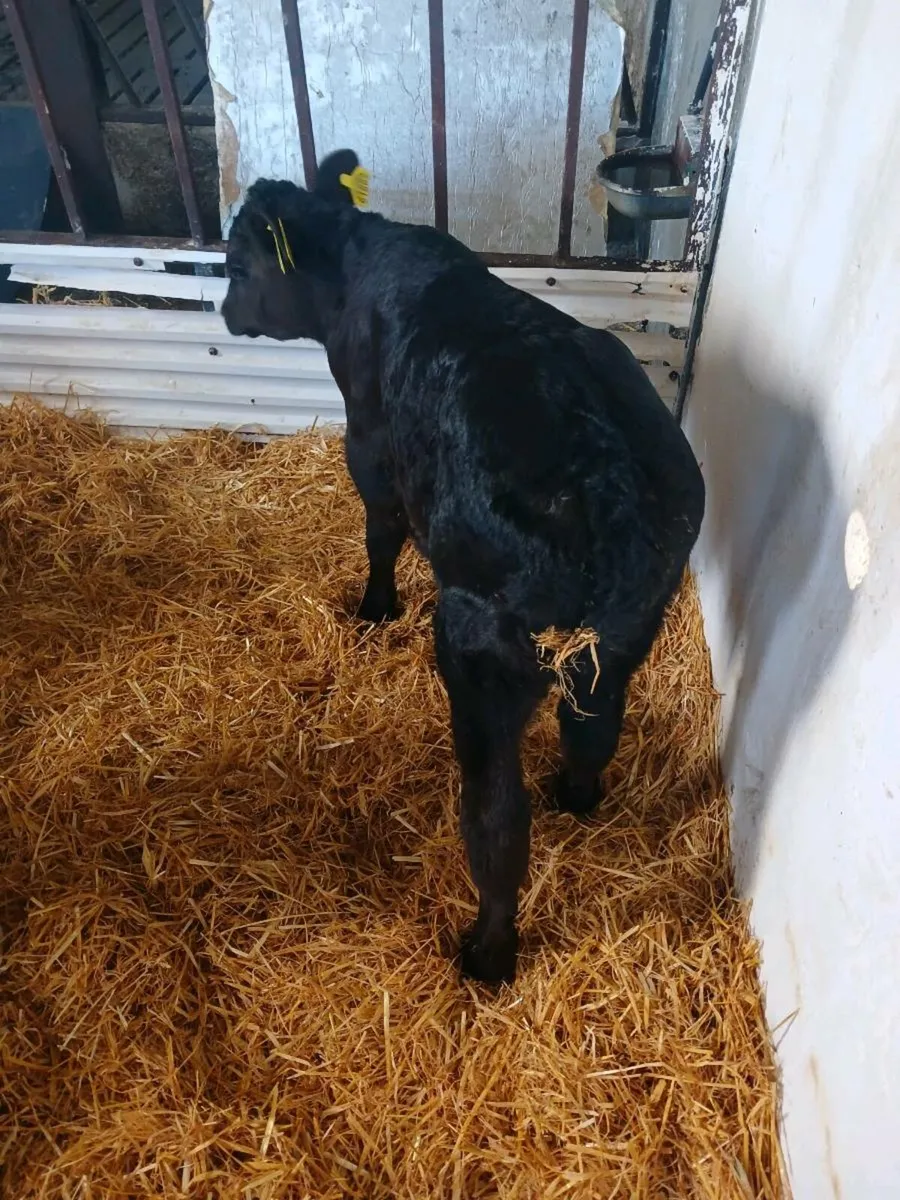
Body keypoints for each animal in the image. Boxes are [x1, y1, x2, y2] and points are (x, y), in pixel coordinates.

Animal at [221, 149, 705, 986]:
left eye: (238, 262)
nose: (221, 312)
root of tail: (605, 477)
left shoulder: (369, 440)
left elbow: (381, 530)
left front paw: (375, 608)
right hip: (623, 635)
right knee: (594, 727)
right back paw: (575, 799)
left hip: (482, 655)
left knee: (497, 817)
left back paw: (487, 953)